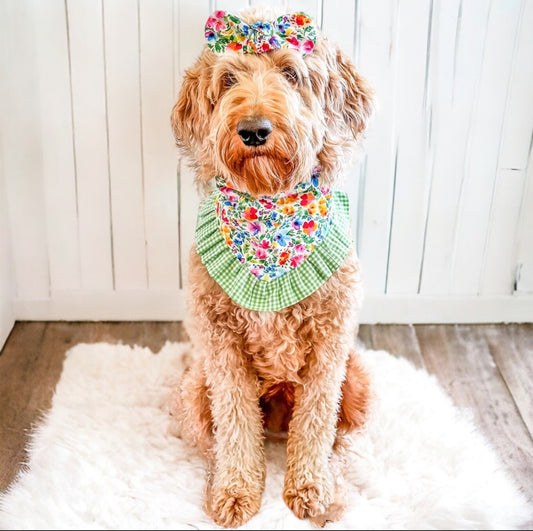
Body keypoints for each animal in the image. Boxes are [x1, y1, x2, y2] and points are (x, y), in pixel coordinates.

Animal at [170, 6, 374, 528]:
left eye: (290, 73)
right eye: (228, 79)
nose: (254, 130)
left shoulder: (331, 343)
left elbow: (317, 423)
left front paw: (311, 490)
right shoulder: (221, 345)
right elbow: (236, 425)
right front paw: (237, 492)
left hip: (357, 380)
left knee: (338, 434)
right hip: (195, 388)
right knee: (214, 435)